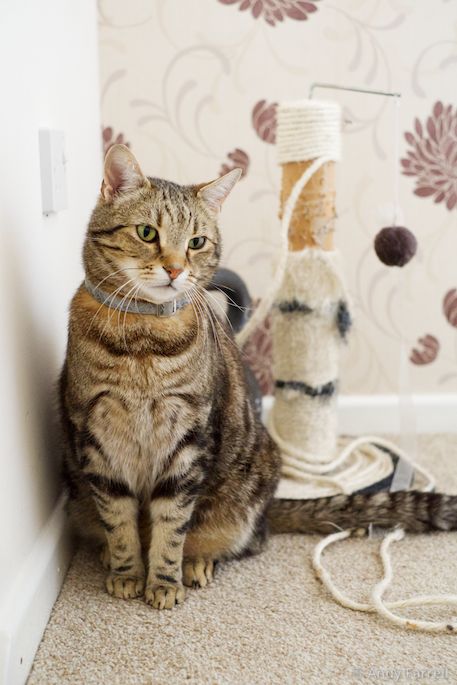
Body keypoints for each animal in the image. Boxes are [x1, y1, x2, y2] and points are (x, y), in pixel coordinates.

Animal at [60, 144, 456, 608]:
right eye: (146, 233)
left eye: (196, 242)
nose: (175, 270)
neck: (143, 340)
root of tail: (269, 507)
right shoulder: (96, 436)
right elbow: (119, 521)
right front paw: (126, 571)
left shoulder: (189, 438)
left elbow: (172, 525)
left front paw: (163, 582)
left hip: (249, 485)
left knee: (244, 540)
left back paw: (199, 561)